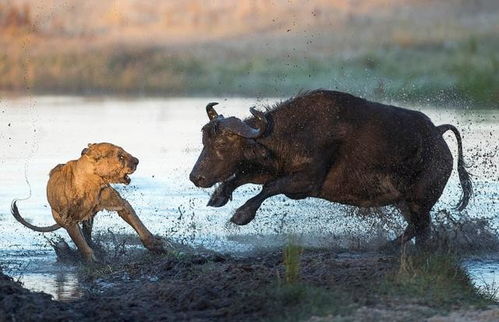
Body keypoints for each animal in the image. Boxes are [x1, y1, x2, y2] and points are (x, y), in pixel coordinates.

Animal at [190, 90, 472, 247]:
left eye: (223, 143)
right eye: (204, 139)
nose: (196, 177)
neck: (297, 132)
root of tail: (437, 133)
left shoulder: (305, 183)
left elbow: (269, 187)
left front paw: (241, 215)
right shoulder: (273, 168)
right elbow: (243, 176)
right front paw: (218, 196)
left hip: (419, 200)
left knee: (420, 228)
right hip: (404, 201)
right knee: (419, 228)